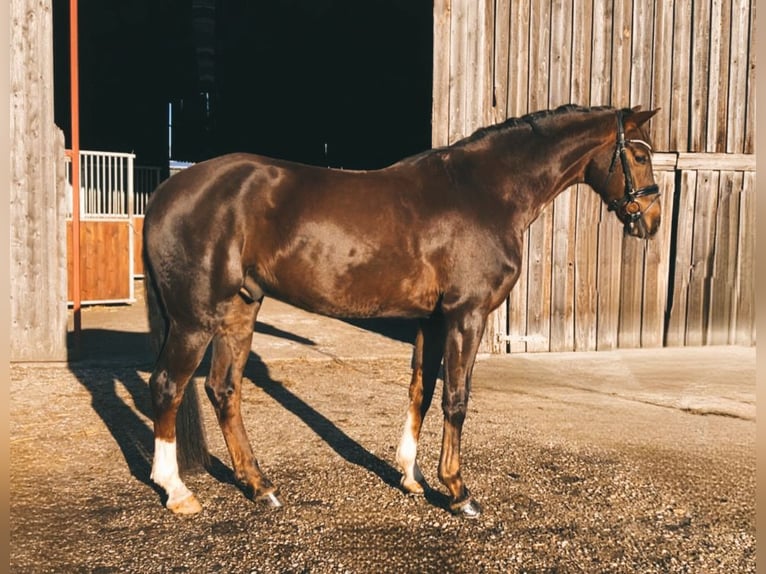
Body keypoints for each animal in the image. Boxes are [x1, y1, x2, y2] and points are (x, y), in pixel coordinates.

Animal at [142, 104, 661, 519]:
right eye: (639, 156)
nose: (651, 222)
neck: (485, 192)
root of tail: (168, 191)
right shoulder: (466, 316)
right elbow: (456, 398)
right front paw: (458, 492)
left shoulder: (431, 320)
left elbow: (421, 392)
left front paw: (411, 477)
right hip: (194, 320)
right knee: (169, 386)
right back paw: (178, 492)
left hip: (240, 309)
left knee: (223, 389)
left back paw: (259, 486)